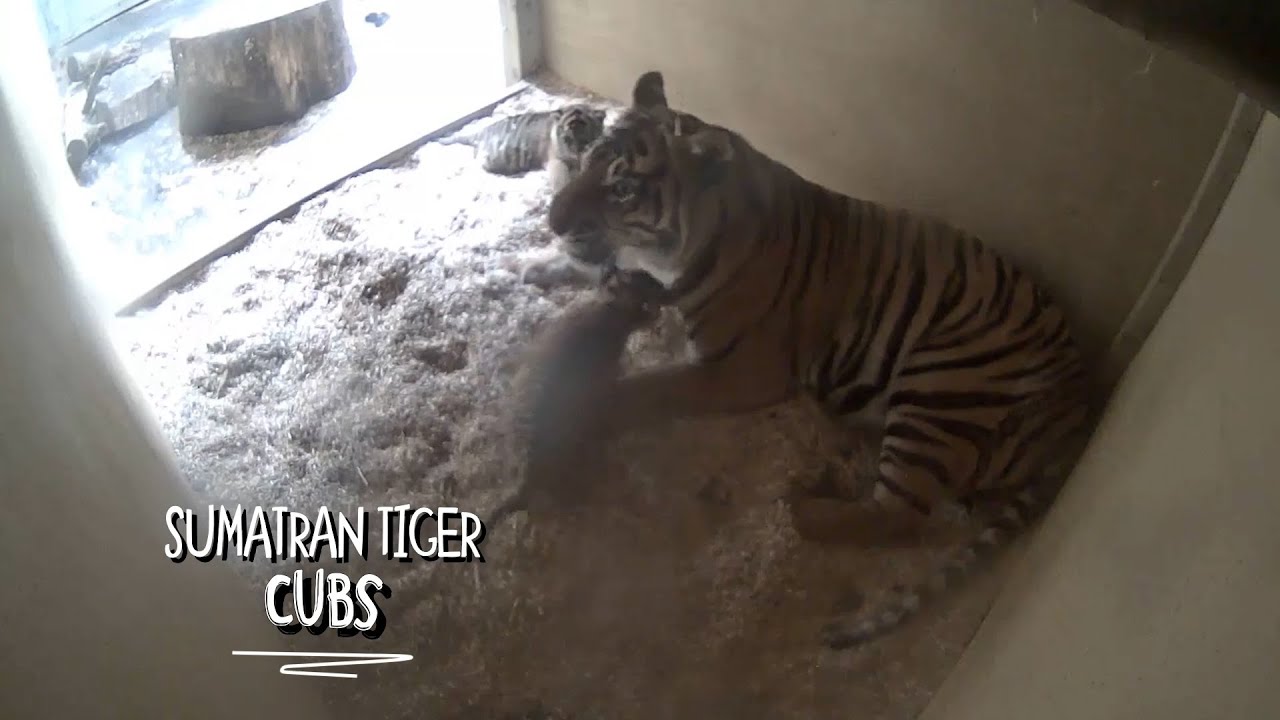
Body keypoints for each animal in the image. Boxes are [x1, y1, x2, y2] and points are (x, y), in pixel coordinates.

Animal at [543, 70, 1100, 651]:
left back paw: (801, 503)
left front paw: (583, 410)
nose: (552, 222)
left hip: (941, 377)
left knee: (897, 514)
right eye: (587, 162)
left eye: (622, 189)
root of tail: (1082, 401)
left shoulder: (741, 372)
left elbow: (645, 389)